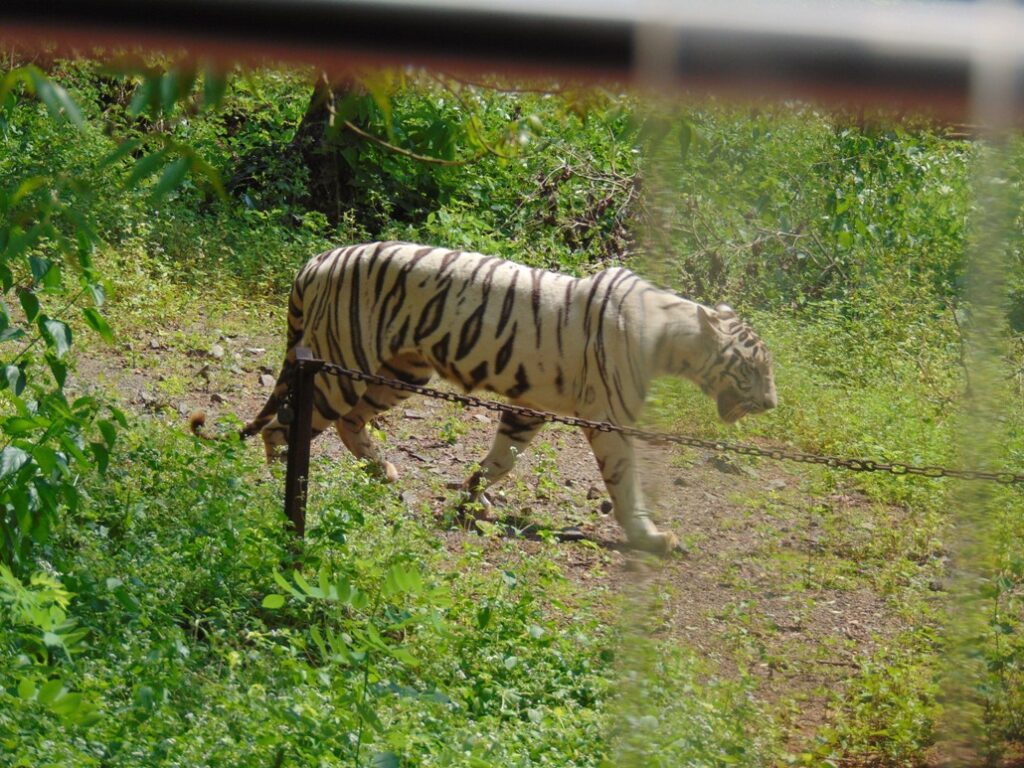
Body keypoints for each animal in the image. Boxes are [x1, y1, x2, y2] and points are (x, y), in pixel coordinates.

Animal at [190, 240, 774, 552]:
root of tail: (318, 259)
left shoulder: (529, 407)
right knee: (287, 423)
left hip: (399, 373)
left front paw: (474, 499)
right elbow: (625, 482)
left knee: (349, 423)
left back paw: (384, 473)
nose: (772, 404)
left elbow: (503, 457)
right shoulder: (608, 418)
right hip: (342, 365)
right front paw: (650, 537)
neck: (674, 341)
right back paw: (287, 483)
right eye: (754, 368)